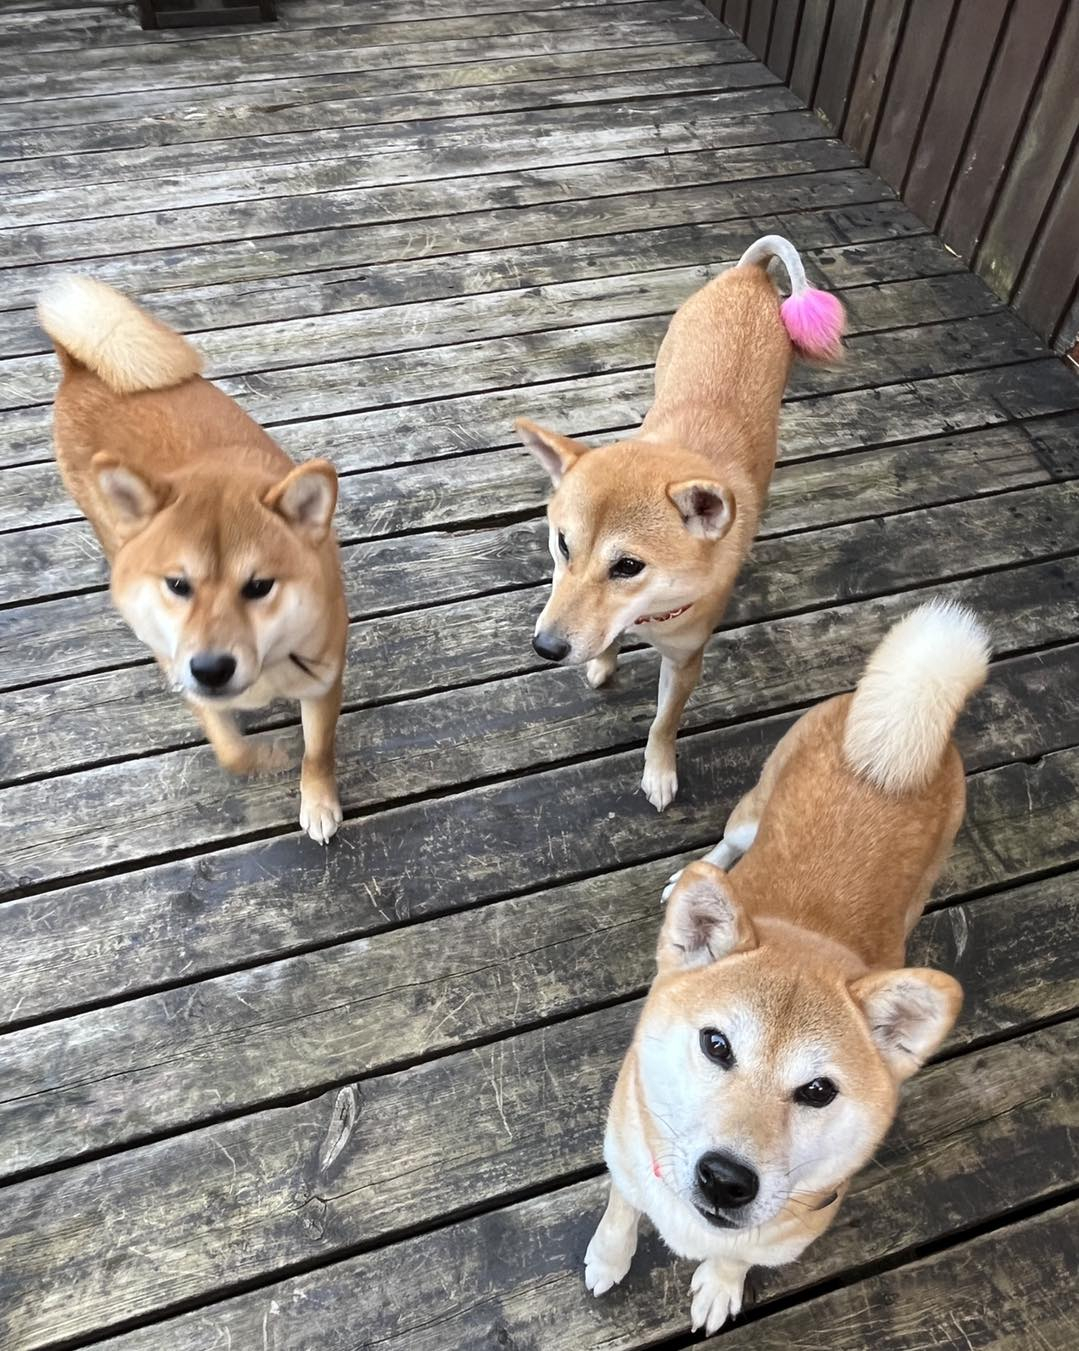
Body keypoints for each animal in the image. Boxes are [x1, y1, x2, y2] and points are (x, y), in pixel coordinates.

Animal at [38, 275, 345, 843]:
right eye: (178, 585)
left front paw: (316, 800)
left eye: (259, 586)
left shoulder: (322, 681)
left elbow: (318, 752)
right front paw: (268, 757)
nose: (211, 668)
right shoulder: (183, 670)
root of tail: (79, 365)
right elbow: (231, 752)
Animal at [518, 237, 848, 810]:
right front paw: (604, 660)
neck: (651, 615)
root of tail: (749, 277)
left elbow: (663, 723)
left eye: (628, 566)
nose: (546, 648)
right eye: (562, 545)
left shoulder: (686, 660)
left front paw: (659, 770)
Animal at [586, 605, 993, 1340]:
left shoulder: (783, 1234)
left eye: (818, 1091)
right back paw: (696, 876)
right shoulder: (625, 1158)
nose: (726, 1178)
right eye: (716, 1044)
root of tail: (896, 738)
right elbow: (620, 1212)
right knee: (725, 846)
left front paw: (720, 1283)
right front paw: (609, 1256)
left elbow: (736, 1258)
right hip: (751, 813)